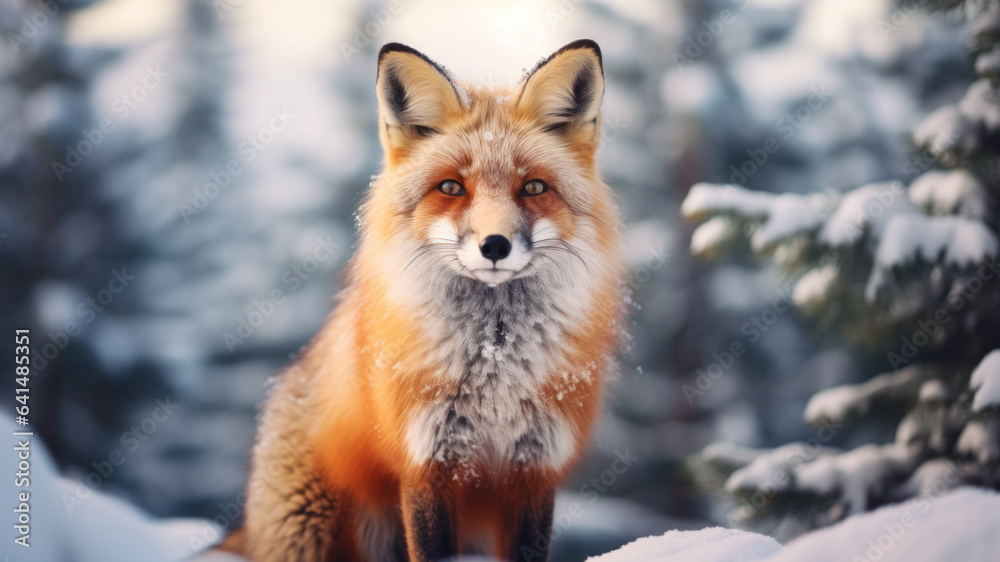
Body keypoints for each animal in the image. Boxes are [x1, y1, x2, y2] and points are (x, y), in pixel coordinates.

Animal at [238, 39, 626, 562]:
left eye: (533, 187)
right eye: (451, 187)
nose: (495, 245)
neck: (494, 367)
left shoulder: (533, 468)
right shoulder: (425, 463)